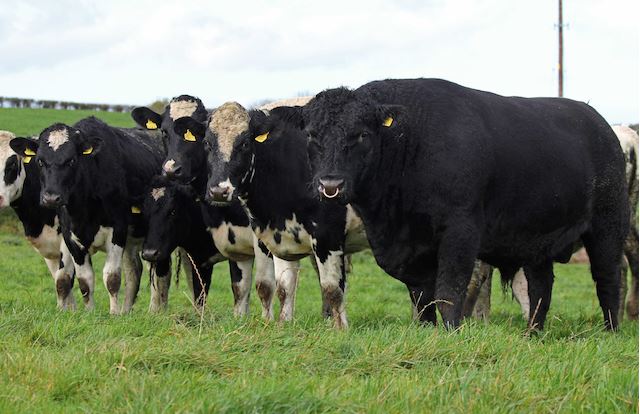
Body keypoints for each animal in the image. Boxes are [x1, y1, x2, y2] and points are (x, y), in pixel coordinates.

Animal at [10, 116, 165, 314]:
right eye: (40, 161)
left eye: (71, 160)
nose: (51, 198)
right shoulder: (71, 237)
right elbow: (84, 281)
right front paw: (90, 313)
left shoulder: (118, 230)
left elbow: (112, 278)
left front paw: (114, 314)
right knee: (135, 271)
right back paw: (128, 310)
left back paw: (155, 310)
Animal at [302, 77, 632, 332]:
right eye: (311, 135)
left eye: (361, 134)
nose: (330, 184)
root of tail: (600, 123)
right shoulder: (410, 249)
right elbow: (422, 298)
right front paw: (427, 332)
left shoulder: (461, 230)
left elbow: (449, 291)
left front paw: (451, 333)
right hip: (539, 238)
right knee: (541, 287)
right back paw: (532, 335)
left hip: (608, 224)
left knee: (608, 279)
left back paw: (611, 331)